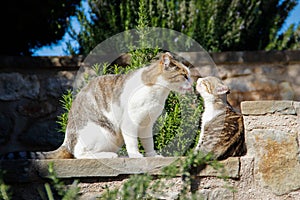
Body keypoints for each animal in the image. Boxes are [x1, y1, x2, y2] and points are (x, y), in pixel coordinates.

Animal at [1, 52, 192, 159]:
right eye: (184, 75)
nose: (192, 82)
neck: (158, 93)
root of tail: (66, 141)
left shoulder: (146, 124)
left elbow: (149, 143)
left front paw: (152, 155)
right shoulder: (130, 123)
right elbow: (133, 142)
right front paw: (136, 155)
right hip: (103, 131)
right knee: (80, 154)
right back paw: (111, 155)